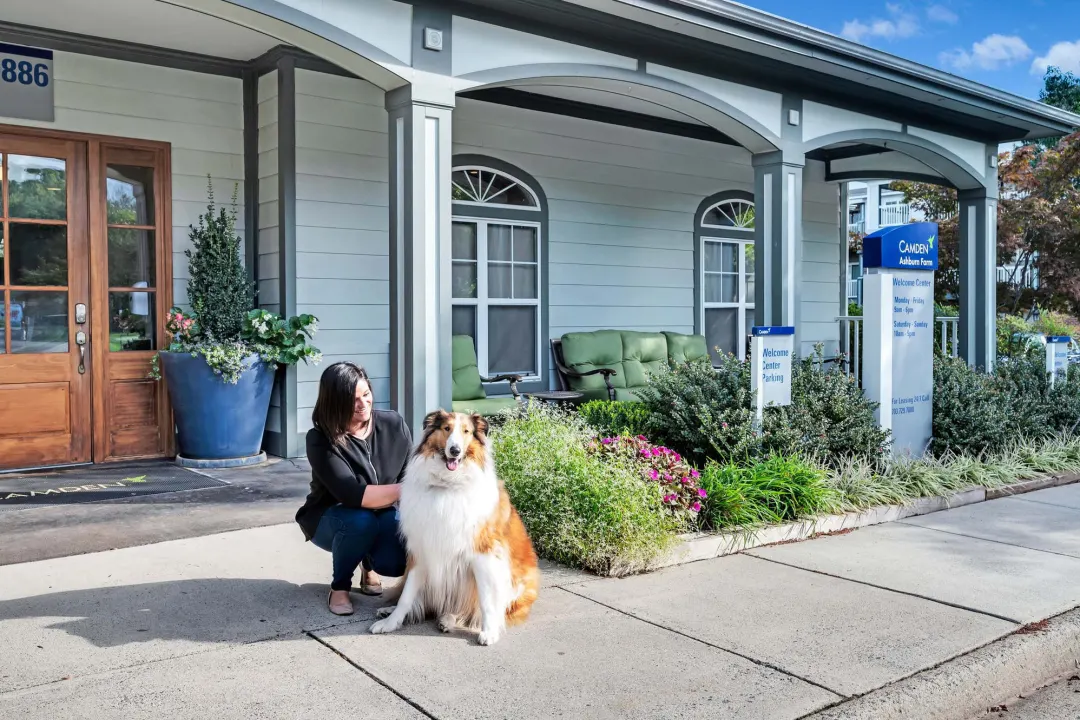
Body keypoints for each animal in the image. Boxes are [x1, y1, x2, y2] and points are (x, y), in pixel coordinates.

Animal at [369, 410, 540, 647]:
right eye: (446, 429)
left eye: (466, 431)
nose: (455, 450)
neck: (448, 485)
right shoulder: (422, 549)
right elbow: (407, 595)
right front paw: (391, 622)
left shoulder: (483, 555)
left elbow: (486, 600)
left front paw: (489, 632)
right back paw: (392, 610)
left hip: (514, 586)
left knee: (471, 609)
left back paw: (449, 620)